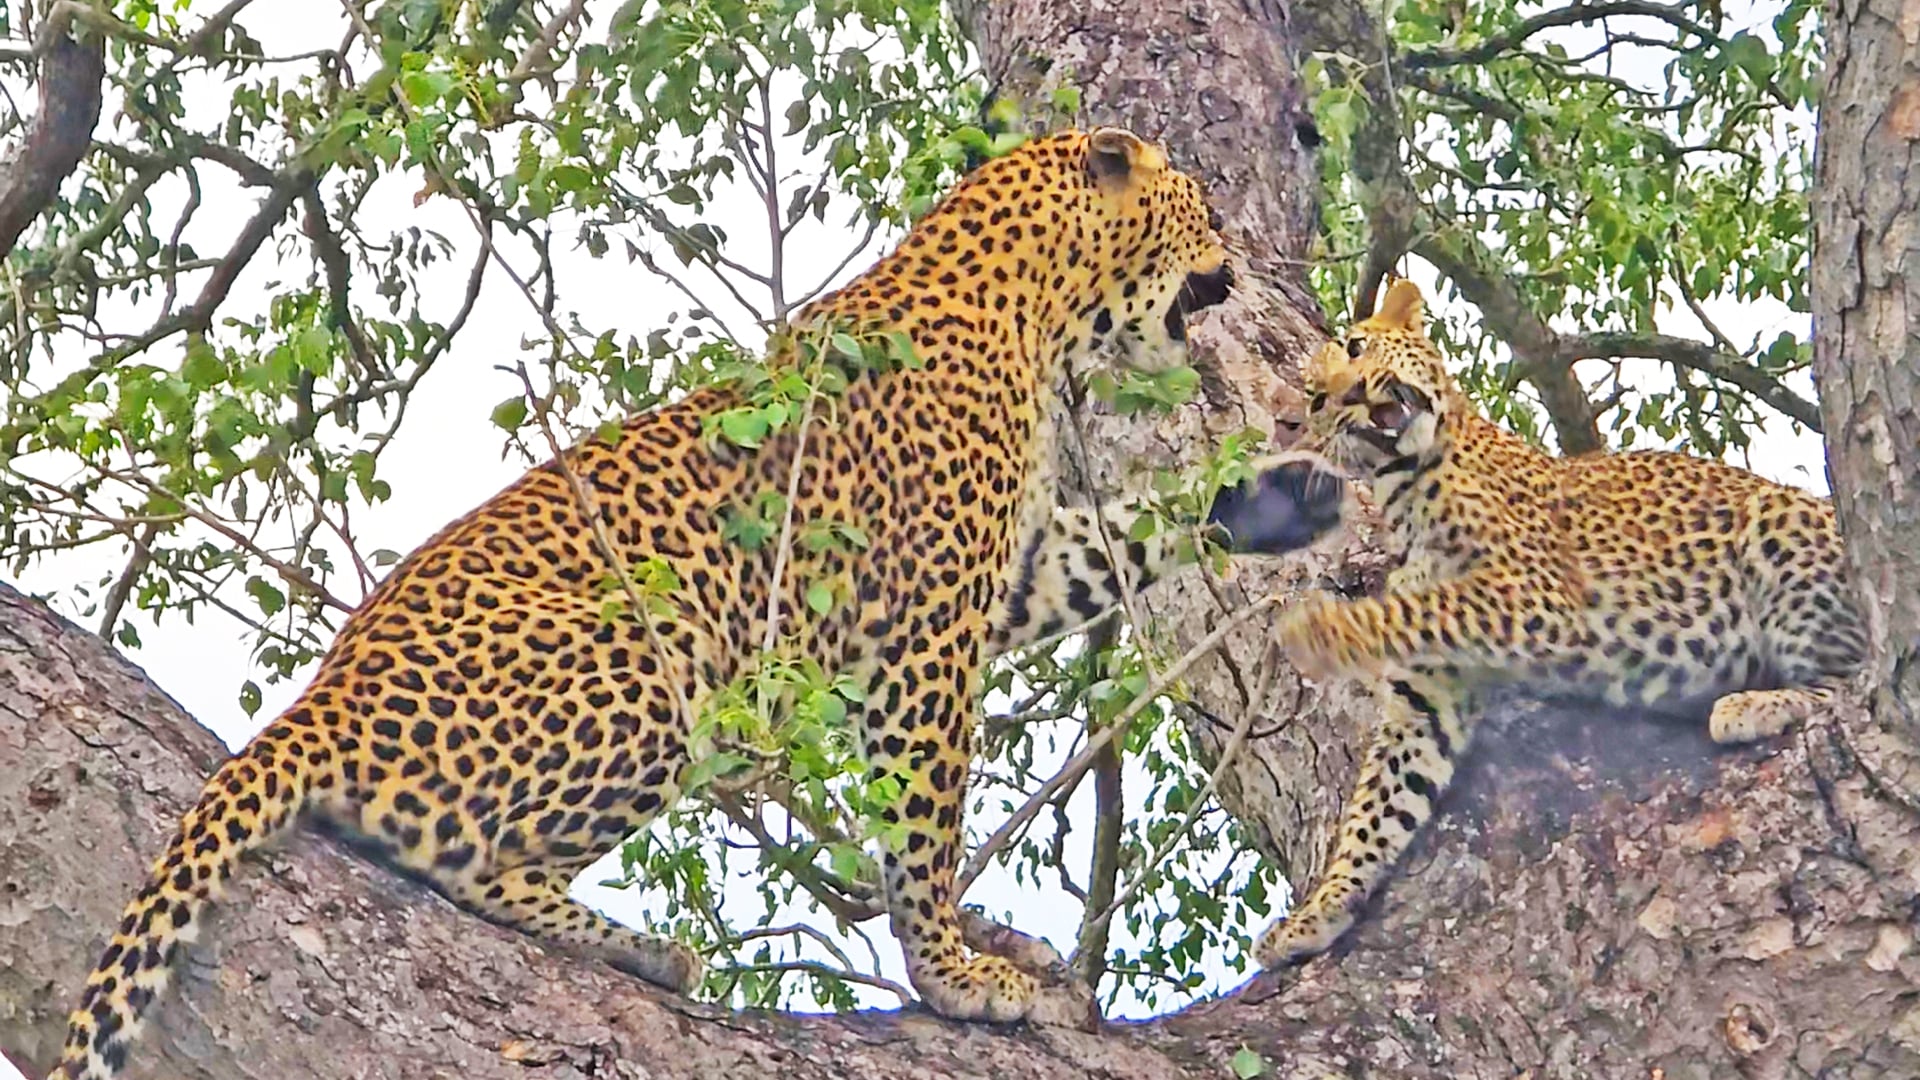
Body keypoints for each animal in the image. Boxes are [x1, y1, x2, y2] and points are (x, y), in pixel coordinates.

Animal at [51, 127, 1253, 1080]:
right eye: (1204, 202)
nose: (1239, 264)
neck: (1044, 309)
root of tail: (324, 696)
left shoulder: (1014, 576)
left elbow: (1127, 539)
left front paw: (1272, 484)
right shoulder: (929, 629)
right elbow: (922, 828)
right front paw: (955, 976)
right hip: (655, 658)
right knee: (462, 859)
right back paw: (637, 947)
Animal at [1241, 277, 1866, 972]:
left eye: (1356, 346)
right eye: (1319, 400)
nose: (1349, 395)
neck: (1405, 490)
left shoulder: (1537, 596)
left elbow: (1414, 607)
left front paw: (1323, 629)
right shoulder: (1428, 699)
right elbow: (1376, 809)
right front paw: (1318, 914)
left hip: (1777, 524)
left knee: (1856, 673)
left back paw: (1753, 704)